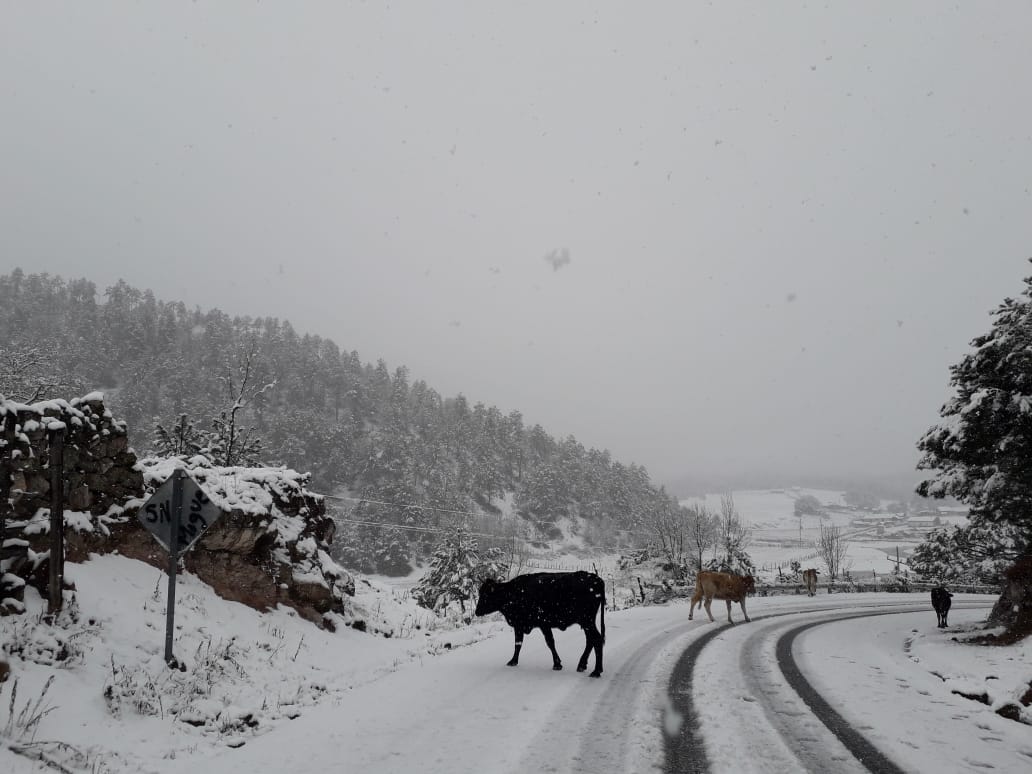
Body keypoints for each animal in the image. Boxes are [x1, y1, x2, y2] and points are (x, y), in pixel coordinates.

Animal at [472, 569, 602, 676]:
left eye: (486, 594)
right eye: (480, 592)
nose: (477, 611)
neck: (512, 594)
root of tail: (595, 578)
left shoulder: (541, 624)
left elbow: (549, 642)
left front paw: (557, 664)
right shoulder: (520, 625)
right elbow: (518, 643)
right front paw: (513, 661)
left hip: (587, 621)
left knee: (596, 639)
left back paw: (596, 671)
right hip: (586, 623)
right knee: (590, 640)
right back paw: (582, 665)